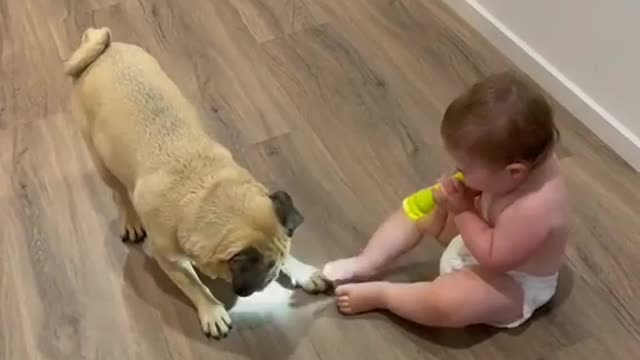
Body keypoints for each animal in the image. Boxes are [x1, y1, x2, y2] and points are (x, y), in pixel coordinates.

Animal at [62, 27, 330, 338]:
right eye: (263, 270)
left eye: (276, 264)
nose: (269, 278)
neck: (207, 191)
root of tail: (100, 52)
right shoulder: (170, 260)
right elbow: (194, 286)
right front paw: (212, 310)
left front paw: (301, 270)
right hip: (101, 161)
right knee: (120, 194)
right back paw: (131, 220)